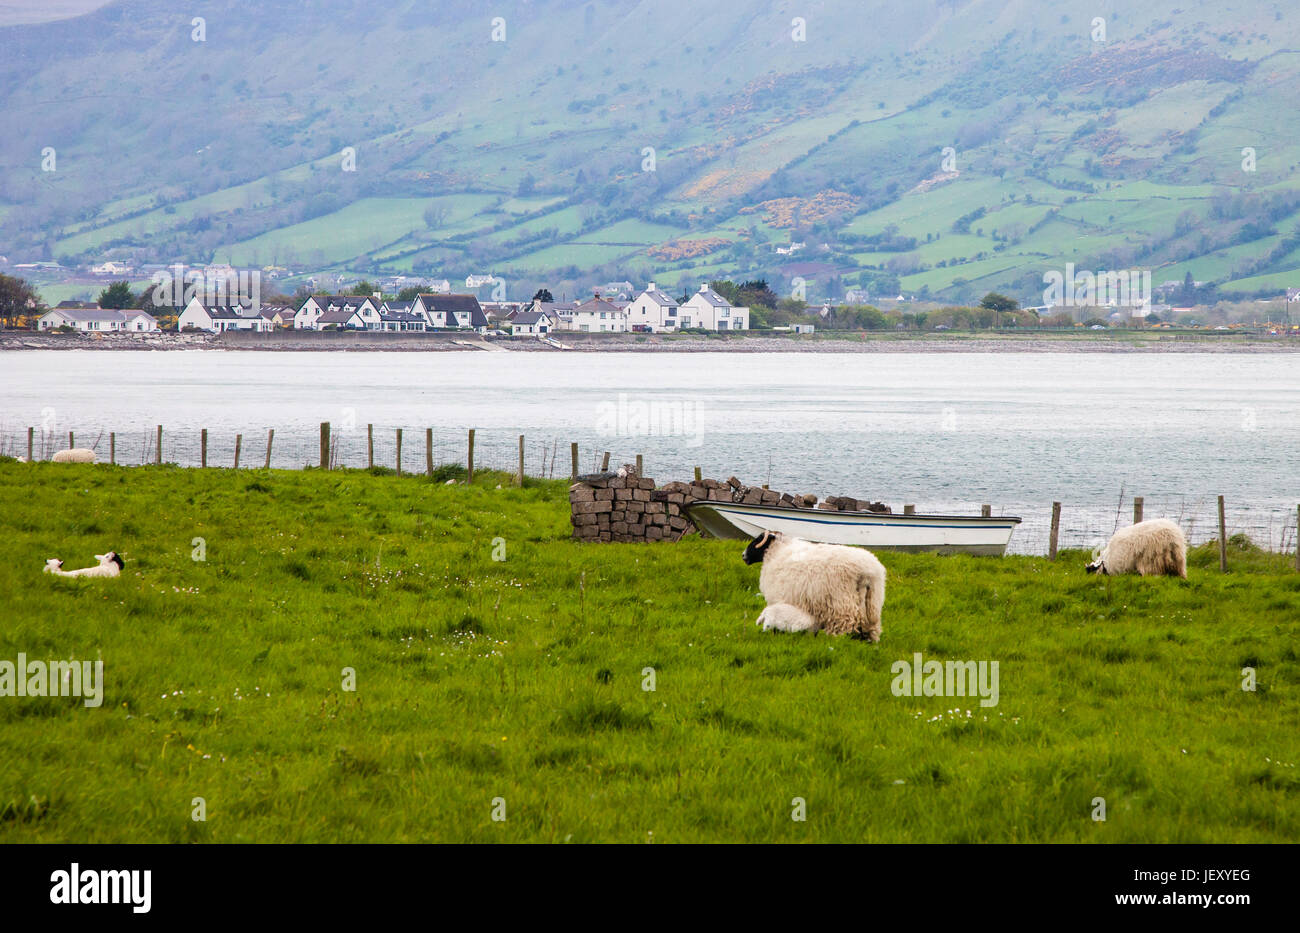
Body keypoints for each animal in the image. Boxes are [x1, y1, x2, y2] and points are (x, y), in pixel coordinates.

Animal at [743, 532, 883, 644]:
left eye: (757, 540)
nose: (743, 555)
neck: (776, 552)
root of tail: (866, 572)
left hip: (842, 605)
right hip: (872, 606)